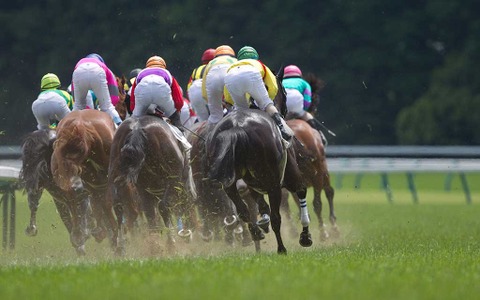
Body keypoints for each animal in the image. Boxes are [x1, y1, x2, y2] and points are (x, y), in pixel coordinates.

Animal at [109, 115, 197, 255]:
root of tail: (137, 129)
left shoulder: (144, 190)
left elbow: (150, 213)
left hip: (116, 177)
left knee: (118, 206)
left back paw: (122, 247)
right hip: (172, 181)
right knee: (164, 207)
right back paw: (171, 243)